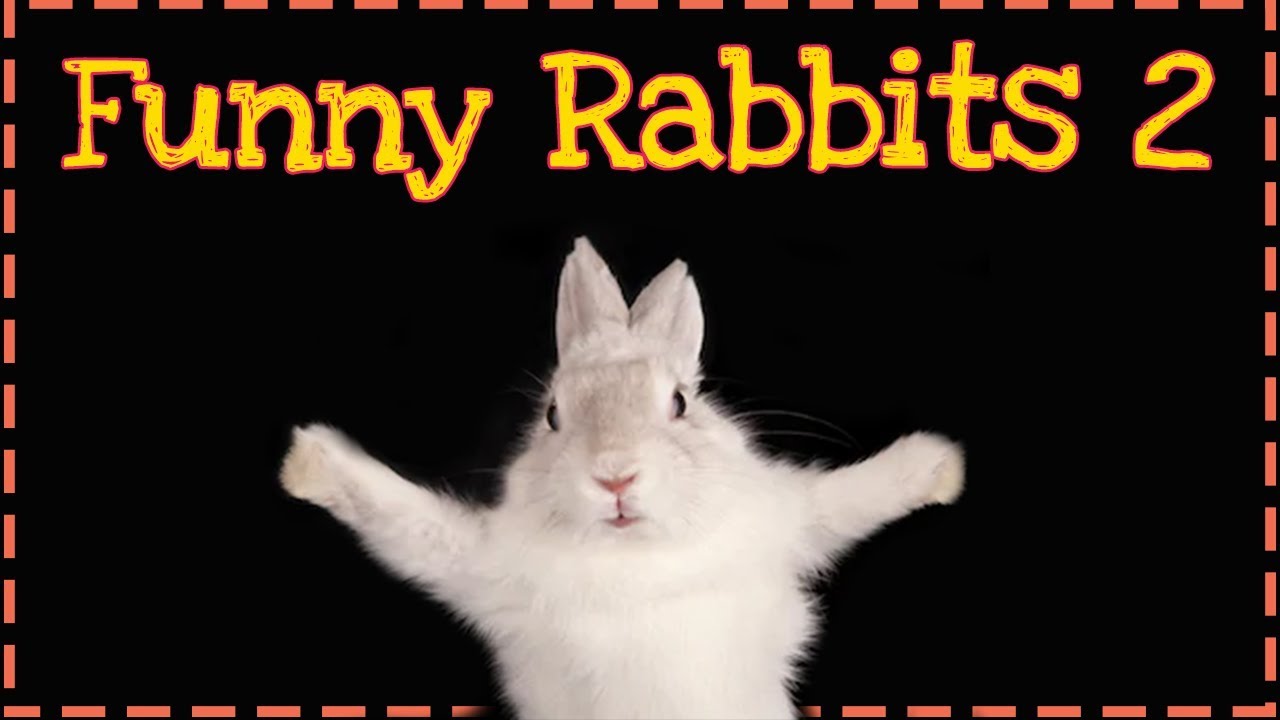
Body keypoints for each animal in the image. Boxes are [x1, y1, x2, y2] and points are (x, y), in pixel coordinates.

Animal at [279, 237, 965, 720]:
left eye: (681, 402)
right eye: (553, 415)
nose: (614, 476)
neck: (637, 559)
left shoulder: (790, 521)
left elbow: (847, 499)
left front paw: (941, 466)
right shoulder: (481, 566)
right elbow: (406, 522)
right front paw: (309, 462)